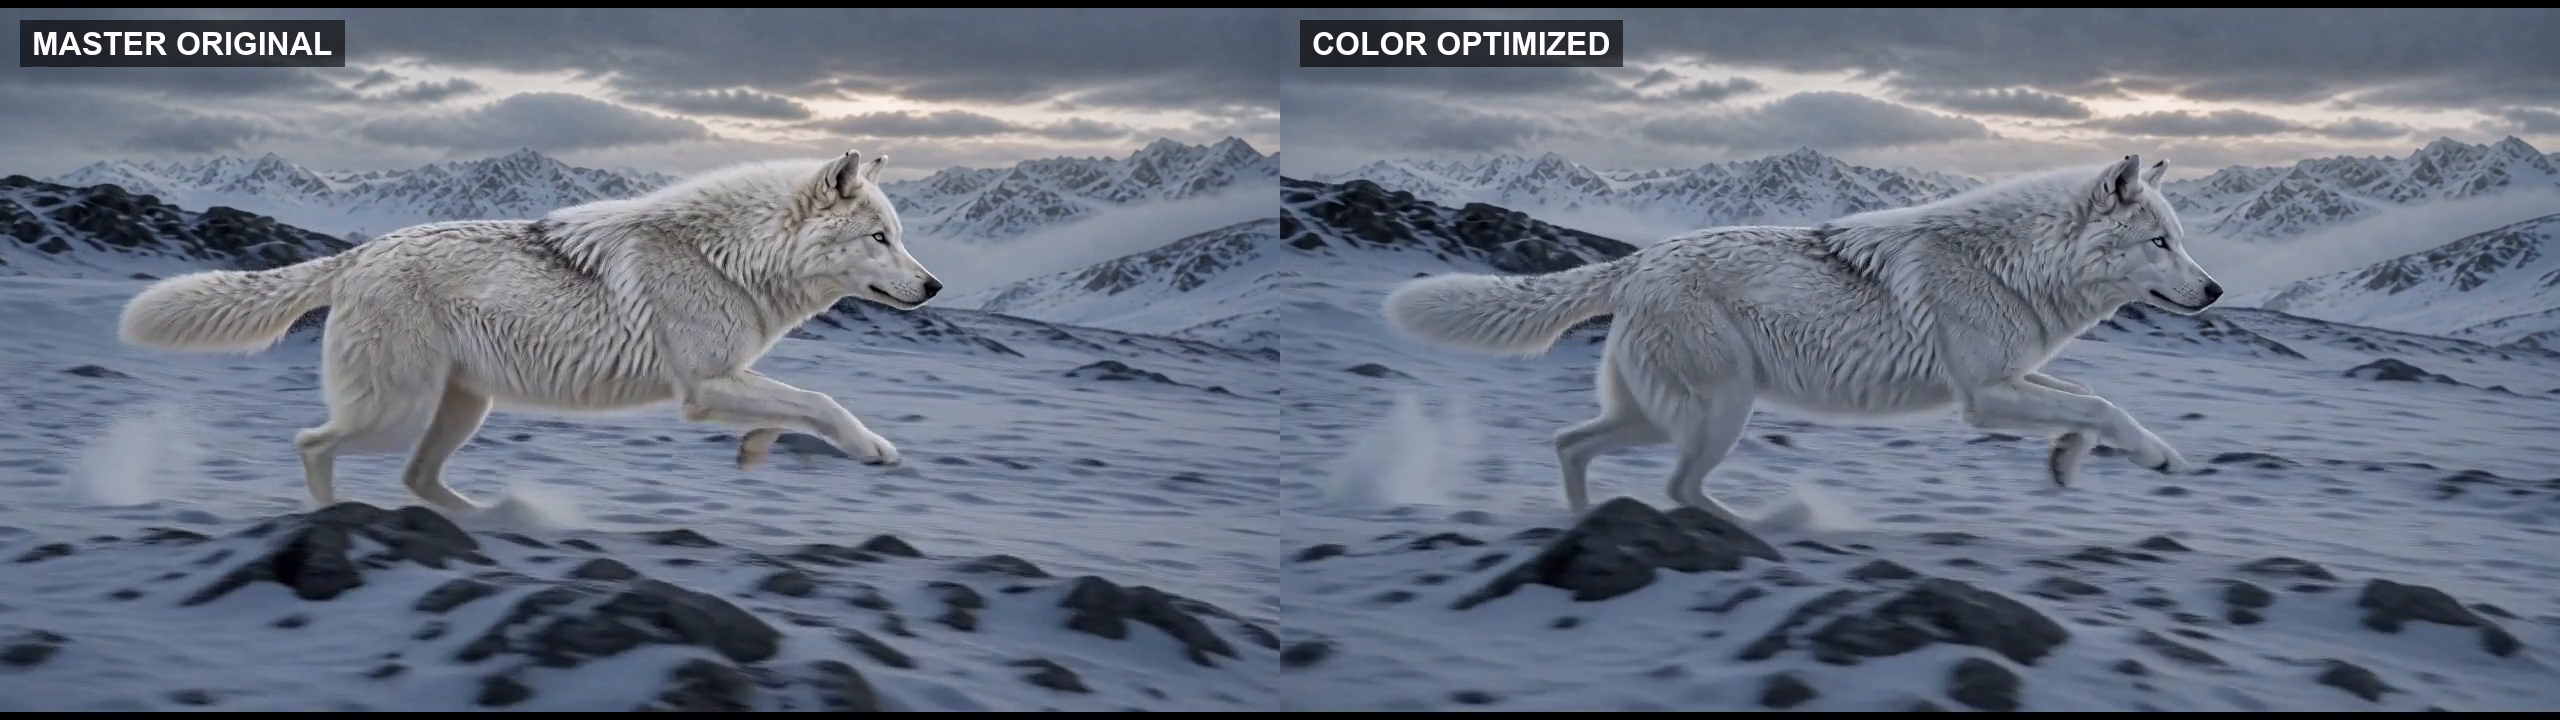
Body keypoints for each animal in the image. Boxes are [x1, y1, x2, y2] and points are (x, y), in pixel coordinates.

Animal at [117, 150, 944, 512]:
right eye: (879, 237)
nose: (934, 287)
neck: (733, 258)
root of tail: (358, 254)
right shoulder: (705, 387)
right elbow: (821, 402)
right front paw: (876, 449)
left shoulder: (720, 386)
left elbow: (793, 408)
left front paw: (755, 452)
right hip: (397, 414)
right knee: (313, 446)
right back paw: (331, 518)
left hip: (462, 411)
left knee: (417, 480)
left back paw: (497, 523)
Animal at [1382, 155, 2222, 524]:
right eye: (2160, 243)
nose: (2215, 291)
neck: (2018, 263)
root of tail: (1640, 260)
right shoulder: (1984, 397)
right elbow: (2103, 404)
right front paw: (2158, 457)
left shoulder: (2010, 381)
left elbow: (2085, 396)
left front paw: (2066, 463)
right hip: (1722, 413)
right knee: (1677, 488)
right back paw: (1765, 525)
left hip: (1657, 418)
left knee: (1571, 444)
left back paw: (1584, 520)